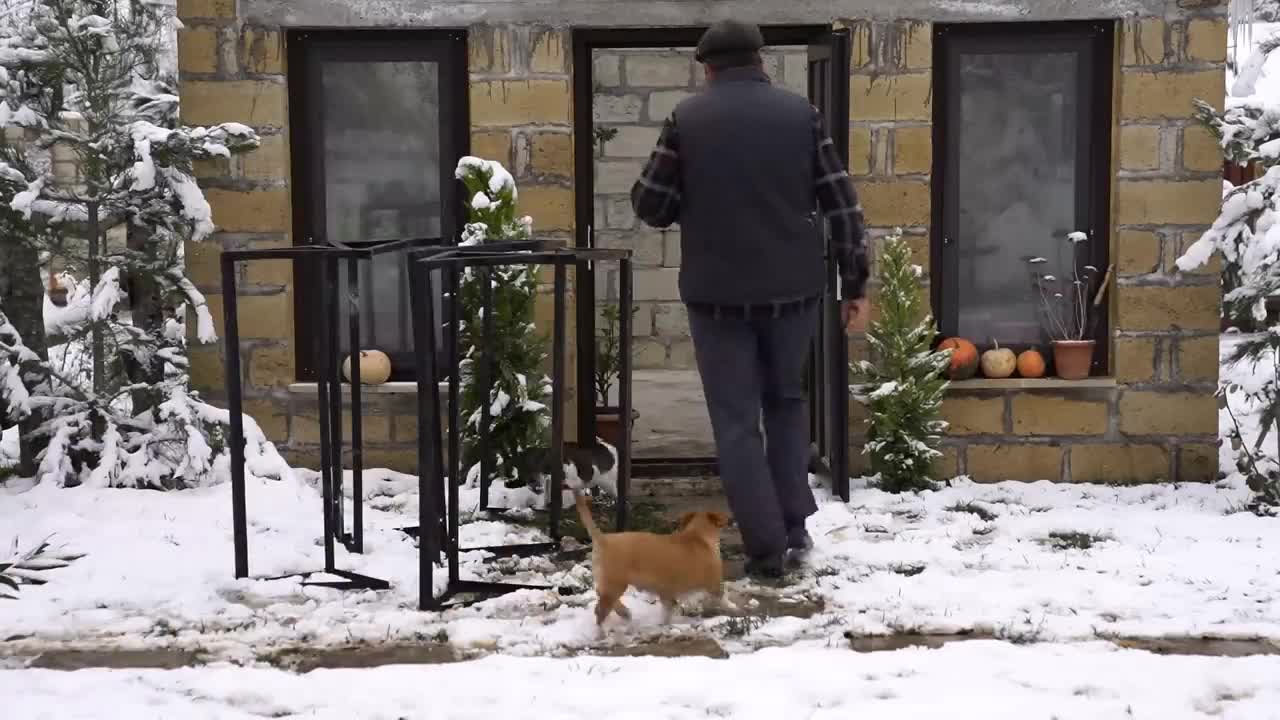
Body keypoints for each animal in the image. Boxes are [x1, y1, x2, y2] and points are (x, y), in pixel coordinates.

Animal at [573, 489, 727, 625]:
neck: (697, 535)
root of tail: (603, 539)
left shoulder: (666, 591)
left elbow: (668, 609)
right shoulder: (714, 585)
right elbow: (725, 600)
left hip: (608, 582)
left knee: (601, 595)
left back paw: (624, 613)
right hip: (615, 583)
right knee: (601, 610)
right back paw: (602, 631)